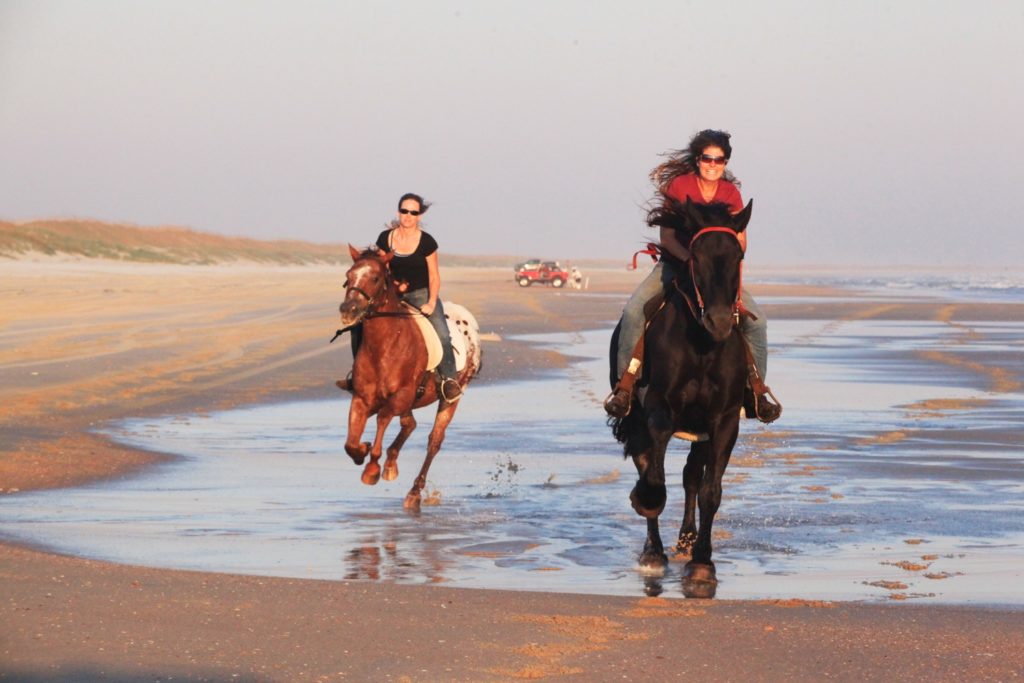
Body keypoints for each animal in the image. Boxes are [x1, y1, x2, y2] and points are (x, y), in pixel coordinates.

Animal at [335, 244, 479, 507]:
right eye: (348, 276)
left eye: (375, 277)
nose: (348, 310)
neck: (385, 345)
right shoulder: (361, 398)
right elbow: (350, 443)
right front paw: (363, 451)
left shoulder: (400, 396)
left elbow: (383, 420)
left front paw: (372, 469)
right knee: (409, 424)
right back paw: (391, 465)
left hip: (451, 398)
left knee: (434, 441)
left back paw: (414, 492)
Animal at [606, 197, 753, 598]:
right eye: (696, 256)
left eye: (737, 255)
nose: (719, 321)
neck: (702, 346)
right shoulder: (659, 411)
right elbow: (654, 478)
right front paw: (645, 504)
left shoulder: (724, 420)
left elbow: (709, 491)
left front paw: (702, 563)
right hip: (638, 417)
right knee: (647, 464)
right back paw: (654, 550)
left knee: (691, 476)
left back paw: (686, 539)